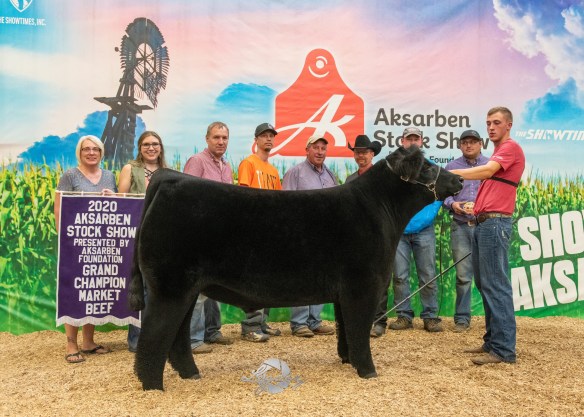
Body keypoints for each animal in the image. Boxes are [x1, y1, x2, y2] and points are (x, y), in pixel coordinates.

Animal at [130, 145, 463, 390]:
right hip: (170, 287)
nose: (459, 180)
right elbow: (359, 329)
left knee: (177, 337)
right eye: (426, 166)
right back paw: (153, 387)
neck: (379, 208)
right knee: (153, 337)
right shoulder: (363, 286)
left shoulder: (344, 293)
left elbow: (346, 330)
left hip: (186, 289)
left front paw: (349, 361)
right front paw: (368, 371)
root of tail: (167, 177)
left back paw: (190, 374)